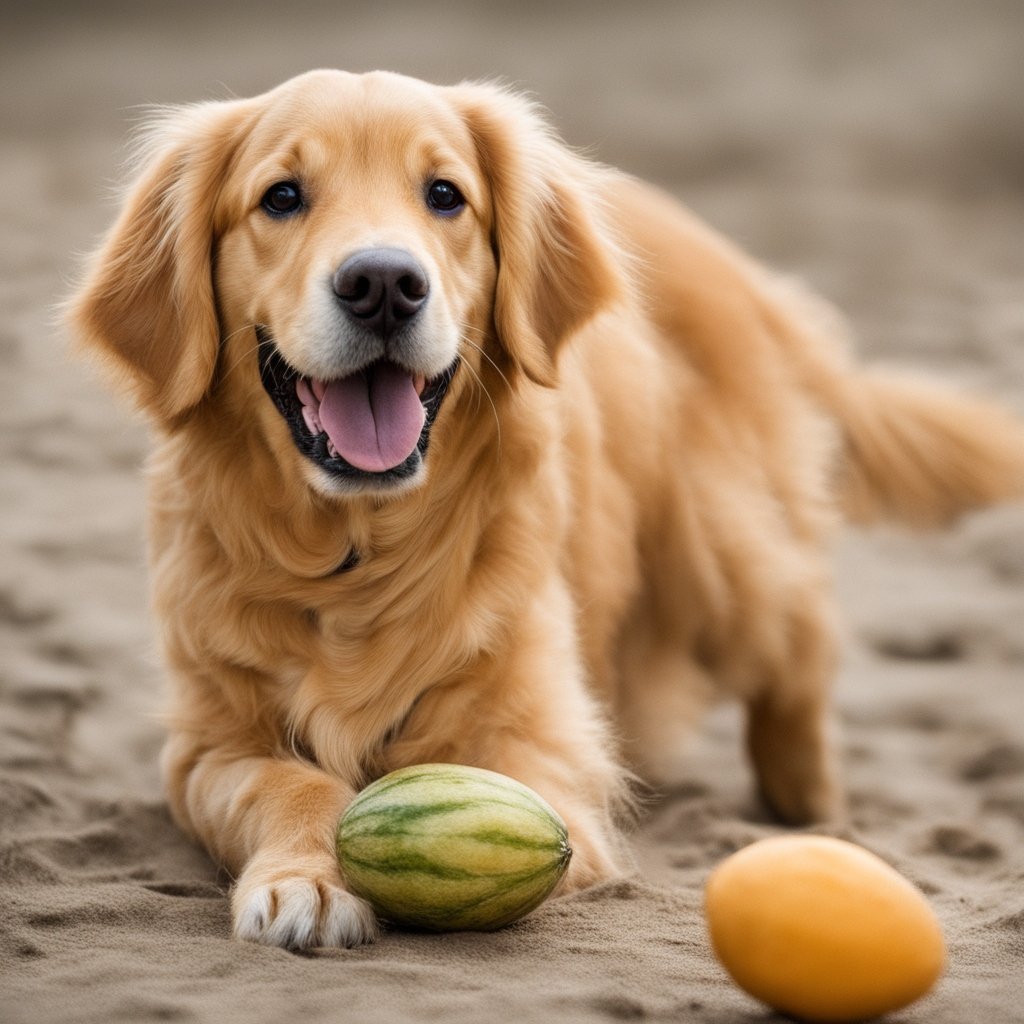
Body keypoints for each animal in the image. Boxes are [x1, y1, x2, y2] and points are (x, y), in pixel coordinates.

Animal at [70, 72, 1024, 946]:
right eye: (281, 197)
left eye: (445, 194)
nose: (383, 283)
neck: (356, 554)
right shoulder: (207, 744)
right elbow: (286, 780)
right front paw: (304, 877)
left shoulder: (537, 739)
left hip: (716, 554)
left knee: (801, 636)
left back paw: (811, 802)